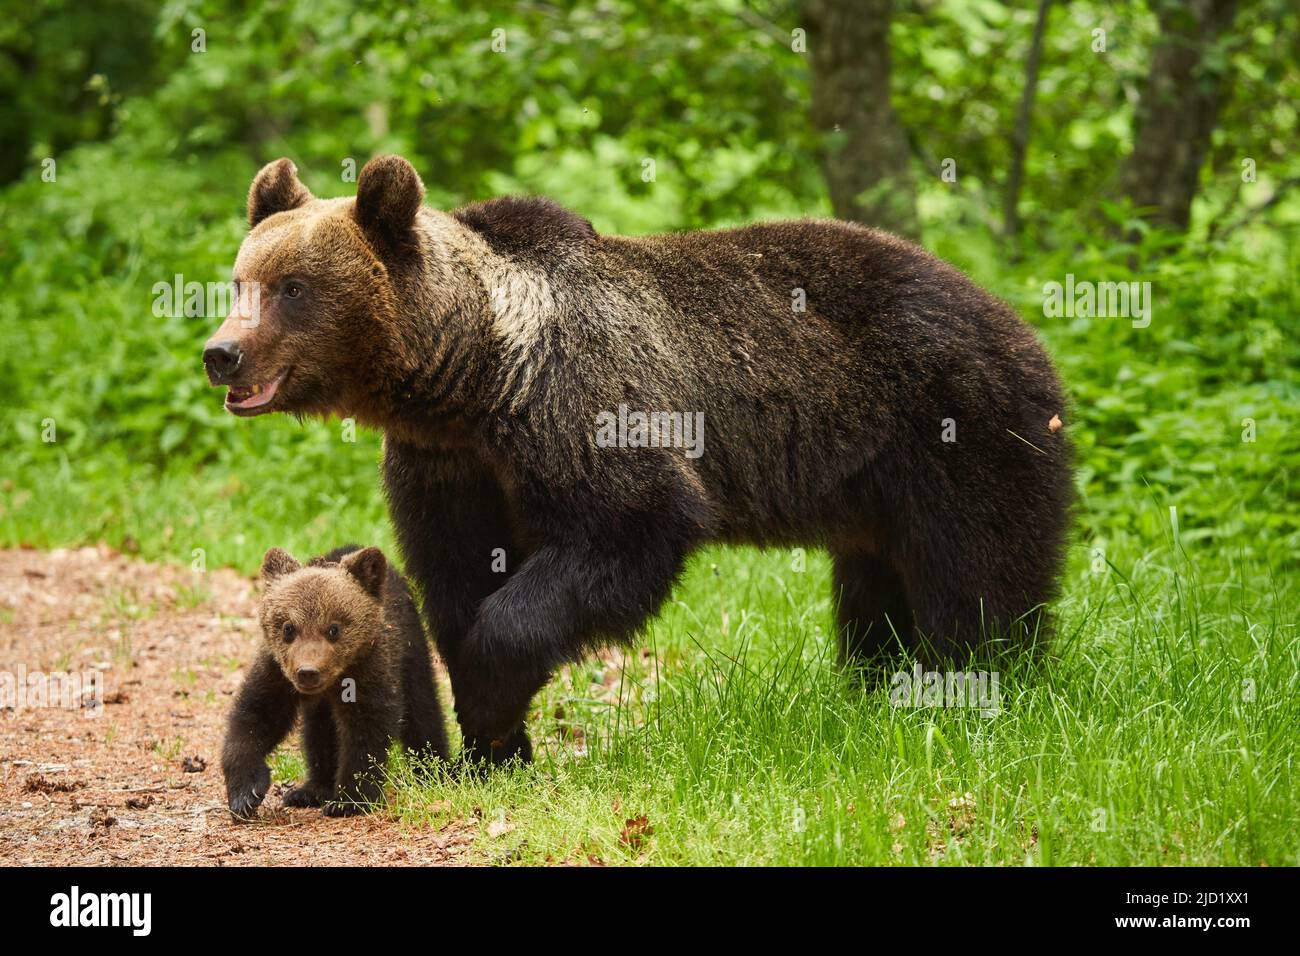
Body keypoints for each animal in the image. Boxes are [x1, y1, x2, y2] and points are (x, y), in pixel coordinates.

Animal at [203, 155, 1072, 767]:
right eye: (242, 280)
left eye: (293, 287)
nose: (221, 354)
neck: (472, 376)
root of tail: (1020, 324)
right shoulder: (448, 466)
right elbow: (456, 573)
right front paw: (493, 749)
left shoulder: (580, 406)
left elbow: (626, 527)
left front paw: (487, 701)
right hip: (873, 488)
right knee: (874, 589)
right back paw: (872, 687)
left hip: (957, 428)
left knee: (979, 574)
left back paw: (976, 692)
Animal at [222, 544, 449, 816]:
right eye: (288, 628)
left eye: (334, 628)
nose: (308, 672)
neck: (334, 680)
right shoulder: (276, 672)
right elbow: (255, 717)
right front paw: (246, 794)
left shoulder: (369, 669)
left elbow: (366, 731)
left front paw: (349, 800)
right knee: (319, 731)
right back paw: (310, 790)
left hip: (410, 649)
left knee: (423, 709)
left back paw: (433, 772)